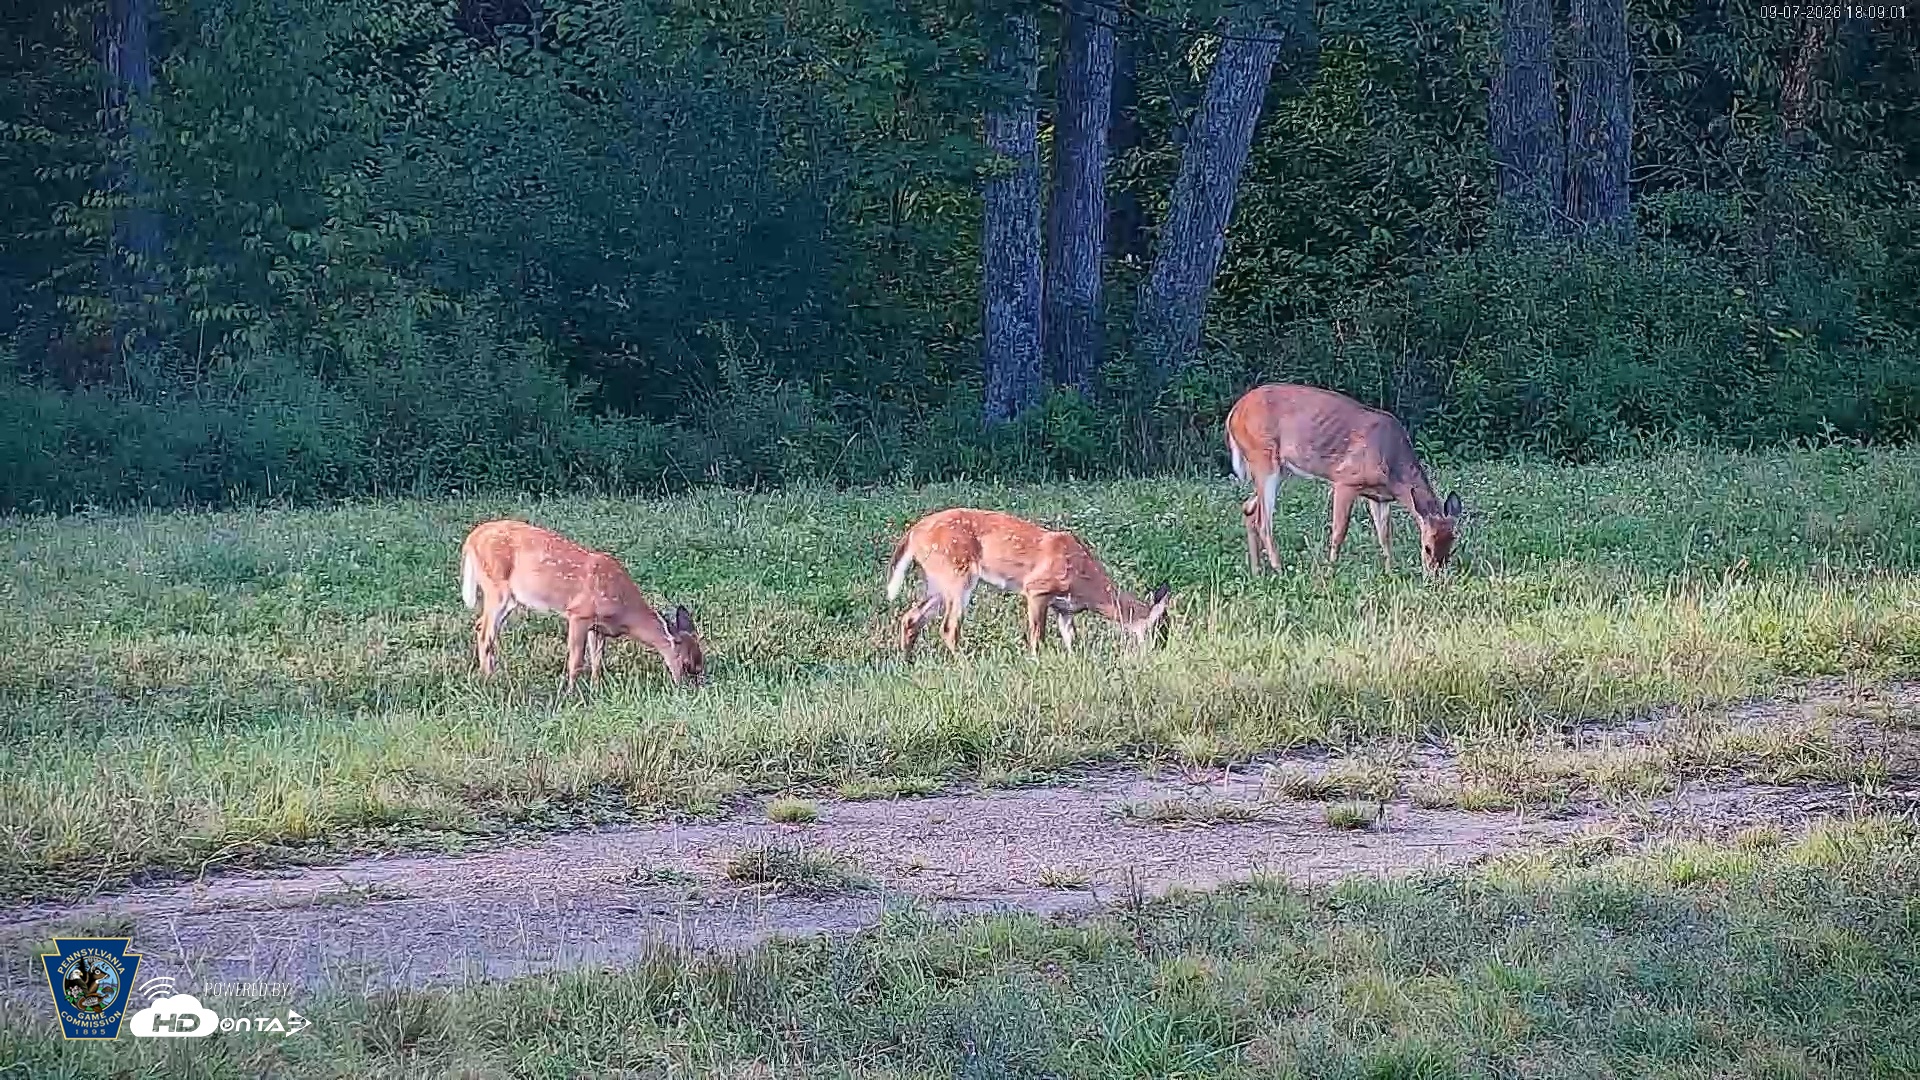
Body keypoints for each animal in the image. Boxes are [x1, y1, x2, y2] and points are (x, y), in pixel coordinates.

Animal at [459, 519, 706, 691]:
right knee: (485, 632)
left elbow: (596, 659)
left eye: (700, 663)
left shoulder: (597, 626)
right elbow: (576, 660)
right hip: (496, 587)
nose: (690, 689)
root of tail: (471, 538)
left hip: (507, 597)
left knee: (482, 626)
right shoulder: (578, 614)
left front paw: (596, 686)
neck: (624, 610)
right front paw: (570, 692)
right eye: (686, 664)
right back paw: (488, 679)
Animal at [884, 508, 1173, 658]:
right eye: (1161, 629)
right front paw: (1035, 661)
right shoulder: (1036, 589)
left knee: (911, 617)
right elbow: (1037, 636)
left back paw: (907, 661)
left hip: (937, 580)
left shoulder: (1065, 609)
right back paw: (964, 663)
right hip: (957, 573)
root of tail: (913, 532)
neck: (1086, 584)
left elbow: (1072, 640)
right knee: (948, 627)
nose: (1162, 651)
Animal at [1224, 383, 1463, 577]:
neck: (1392, 464)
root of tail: (1233, 414)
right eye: (1427, 547)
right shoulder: (1346, 480)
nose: (1435, 576)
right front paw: (1331, 571)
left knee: (1248, 509)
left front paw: (1390, 572)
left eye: (1451, 546)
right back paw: (1279, 569)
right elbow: (1339, 531)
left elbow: (1384, 535)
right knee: (1263, 520)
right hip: (1263, 456)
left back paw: (1257, 571)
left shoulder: (1379, 497)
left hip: (1277, 468)